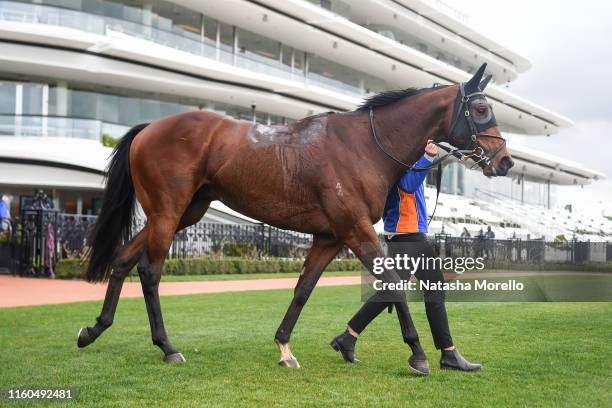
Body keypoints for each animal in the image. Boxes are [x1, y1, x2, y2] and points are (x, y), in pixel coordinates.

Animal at [79, 63, 512, 366]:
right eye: (480, 108)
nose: (505, 161)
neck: (364, 145)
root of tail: (151, 127)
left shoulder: (331, 236)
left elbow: (304, 289)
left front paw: (286, 347)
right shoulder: (356, 230)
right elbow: (391, 281)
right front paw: (418, 354)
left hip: (182, 212)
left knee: (123, 259)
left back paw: (94, 329)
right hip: (168, 211)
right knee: (149, 271)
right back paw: (168, 347)